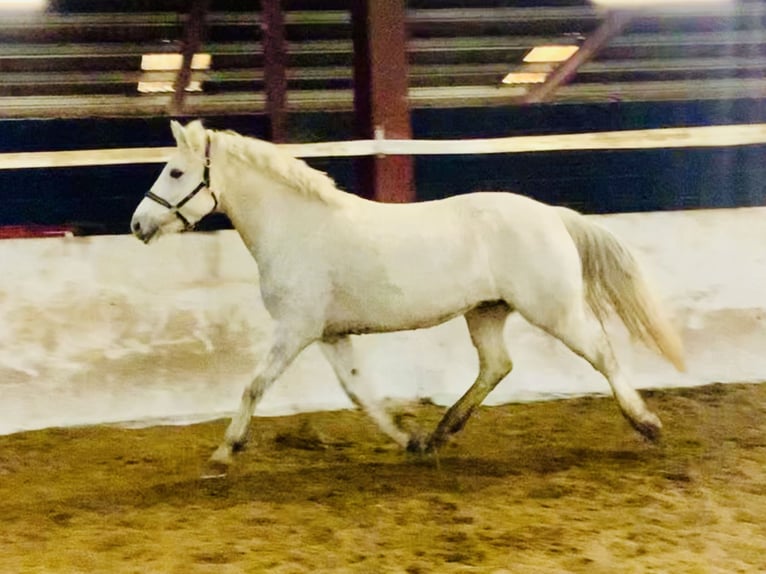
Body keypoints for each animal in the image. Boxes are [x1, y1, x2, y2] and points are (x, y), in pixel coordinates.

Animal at [129, 120, 688, 476]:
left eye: (175, 172)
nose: (138, 224)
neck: (297, 227)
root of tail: (551, 213)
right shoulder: (330, 335)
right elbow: (361, 394)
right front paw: (412, 442)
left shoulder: (296, 330)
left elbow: (253, 387)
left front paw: (223, 455)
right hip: (486, 312)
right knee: (496, 365)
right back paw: (441, 433)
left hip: (555, 309)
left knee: (601, 353)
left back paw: (648, 425)